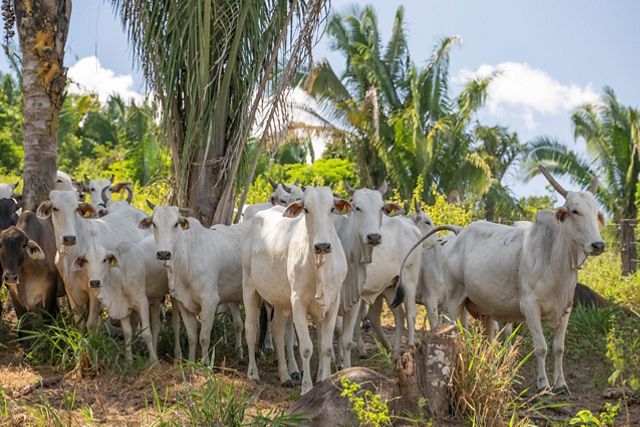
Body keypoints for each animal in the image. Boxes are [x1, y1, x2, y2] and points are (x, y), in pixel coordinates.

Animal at [37, 190, 146, 330]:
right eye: (55, 208)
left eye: (76, 209)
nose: (69, 238)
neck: (71, 254)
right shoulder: (70, 289)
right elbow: (79, 323)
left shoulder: (96, 290)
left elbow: (92, 324)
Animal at [139, 205, 247, 364]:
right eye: (154, 224)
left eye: (176, 224)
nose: (164, 254)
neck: (186, 259)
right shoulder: (183, 303)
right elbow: (192, 337)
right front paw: (190, 362)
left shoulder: (209, 302)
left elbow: (204, 338)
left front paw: (205, 364)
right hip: (234, 295)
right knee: (238, 324)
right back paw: (239, 353)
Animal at [242, 187, 351, 394]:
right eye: (306, 209)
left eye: (332, 209)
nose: (322, 246)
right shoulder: (299, 303)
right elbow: (306, 348)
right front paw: (307, 388)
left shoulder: (332, 304)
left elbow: (325, 346)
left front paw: (323, 381)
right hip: (250, 288)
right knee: (251, 329)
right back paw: (253, 373)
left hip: (281, 302)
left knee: (277, 331)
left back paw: (285, 376)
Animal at [397, 166, 606, 393]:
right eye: (575, 211)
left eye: (596, 212)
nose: (598, 245)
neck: (554, 259)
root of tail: (459, 233)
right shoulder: (530, 307)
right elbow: (541, 347)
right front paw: (543, 384)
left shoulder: (566, 308)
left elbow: (559, 347)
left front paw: (561, 384)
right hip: (453, 301)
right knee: (457, 334)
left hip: (485, 308)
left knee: (488, 339)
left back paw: (489, 369)